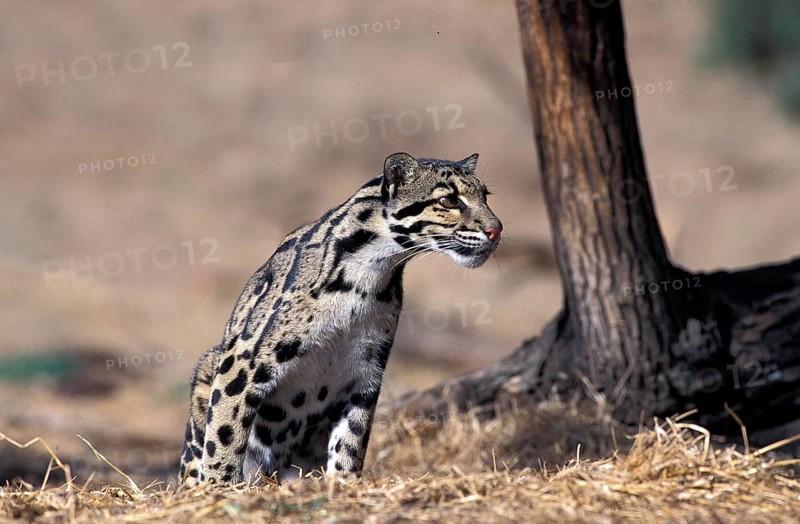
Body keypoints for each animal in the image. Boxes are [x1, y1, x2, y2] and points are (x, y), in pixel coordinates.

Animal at [178, 152, 502, 485]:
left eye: (485, 196)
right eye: (448, 200)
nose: (497, 230)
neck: (368, 275)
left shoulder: (365, 372)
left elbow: (352, 439)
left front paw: (344, 484)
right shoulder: (244, 361)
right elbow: (226, 432)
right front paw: (220, 486)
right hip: (209, 363)